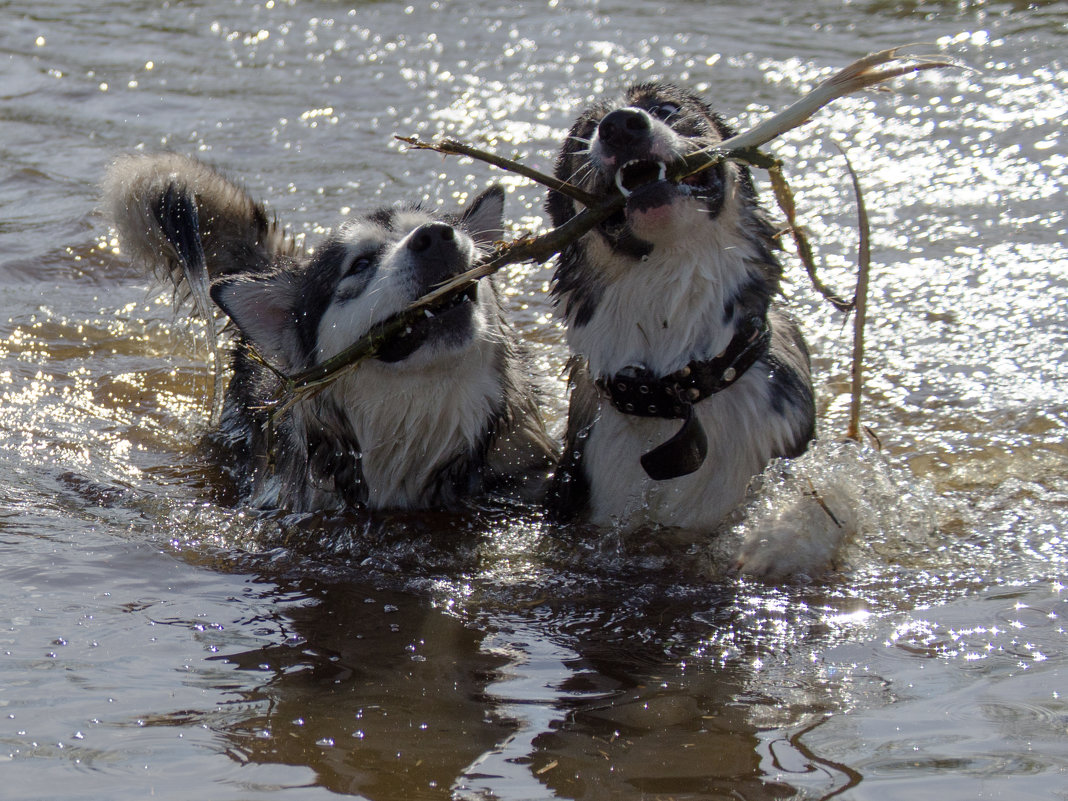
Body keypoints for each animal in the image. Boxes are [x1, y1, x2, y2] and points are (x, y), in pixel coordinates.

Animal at [546, 84, 845, 580]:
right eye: (583, 135)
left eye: (666, 108)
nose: (620, 125)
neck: (681, 389)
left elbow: (822, 498)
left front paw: (776, 543)